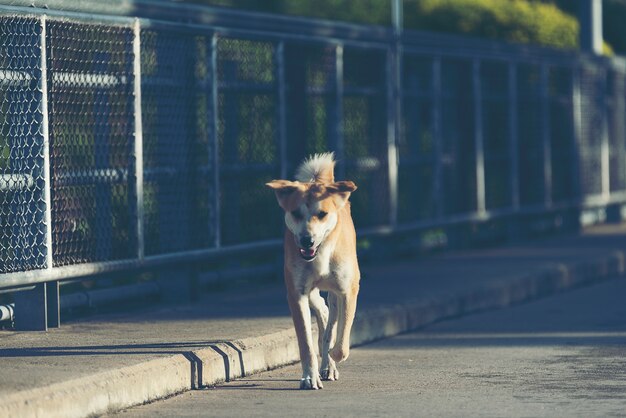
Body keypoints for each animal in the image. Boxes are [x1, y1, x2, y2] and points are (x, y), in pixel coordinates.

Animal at [264, 153, 360, 388]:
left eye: (323, 213)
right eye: (295, 213)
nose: (307, 240)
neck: (321, 253)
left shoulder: (348, 290)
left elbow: (342, 336)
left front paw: (333, 355)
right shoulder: (296, 293)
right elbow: (305, 342)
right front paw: (309, 376)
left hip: (335, 291)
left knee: (331, 320)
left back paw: (329, 362)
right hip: (311, 290)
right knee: (322, 310)